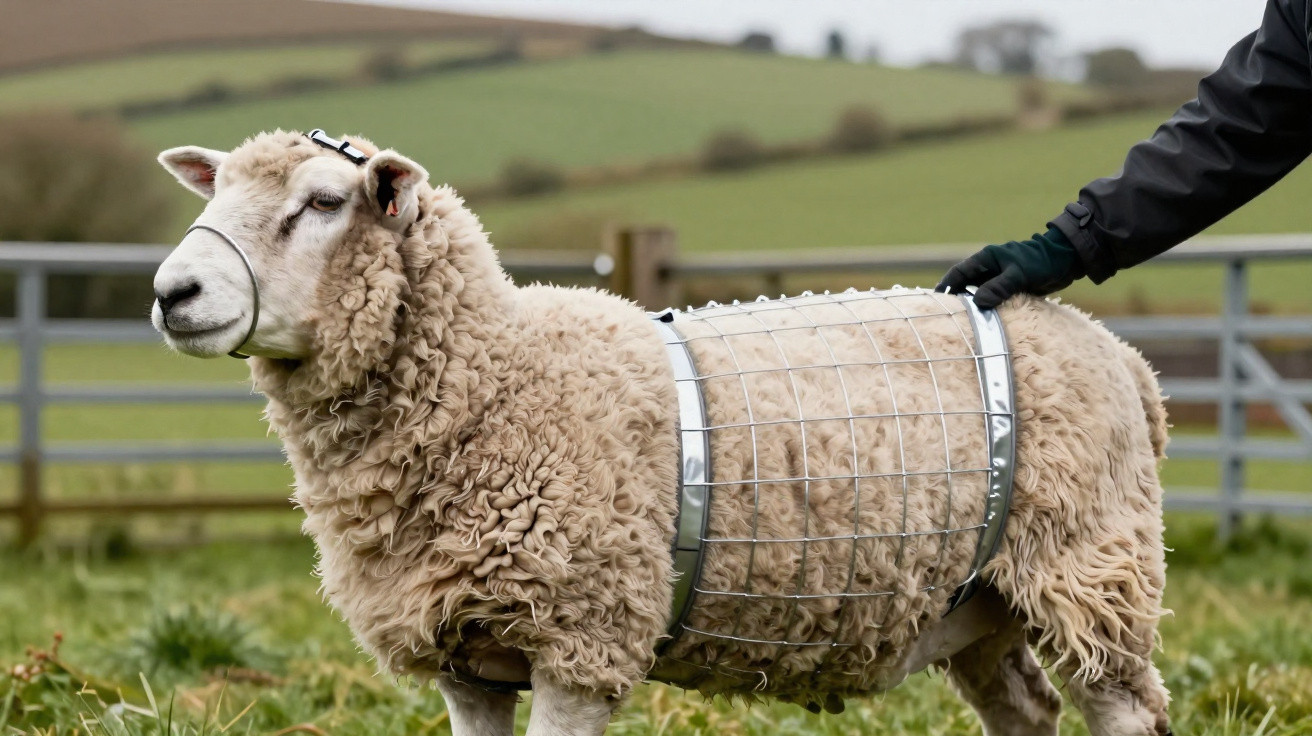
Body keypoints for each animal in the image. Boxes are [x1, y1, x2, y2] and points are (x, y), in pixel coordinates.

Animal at [152, 130, 1172, 736]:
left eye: (325, 202)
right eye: (217, 190)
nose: (172, 292)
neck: (496, 377)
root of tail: (1125, 359)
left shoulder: (582, 640)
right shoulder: (464, 661)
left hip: (1089, 569)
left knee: (1122, 707)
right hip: (983, 602)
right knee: (1027, 709)